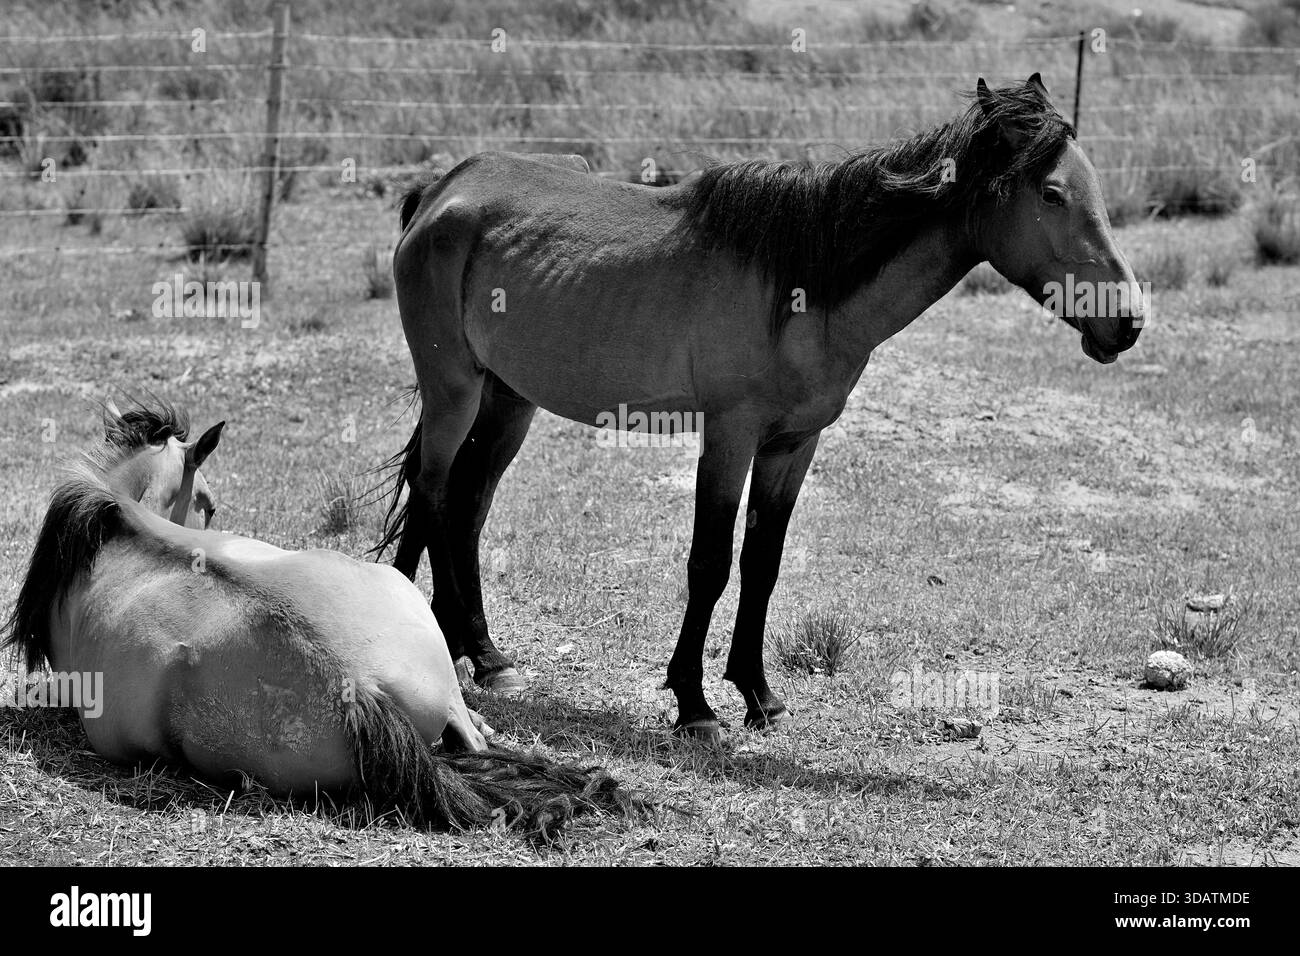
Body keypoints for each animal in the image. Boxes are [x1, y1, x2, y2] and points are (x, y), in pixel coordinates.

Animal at [376, 74, 1145, 744]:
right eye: (1052, 192)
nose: (1128, 321)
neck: (801, 285)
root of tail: (442, 190)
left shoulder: (791, 445)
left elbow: (763, 563)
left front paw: (758, 695)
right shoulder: (731, 437)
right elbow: (711, 563)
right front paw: (694, 705)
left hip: (507, 401)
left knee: (466, 504)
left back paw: (481, 654)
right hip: (454, 390)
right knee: (434, 492)